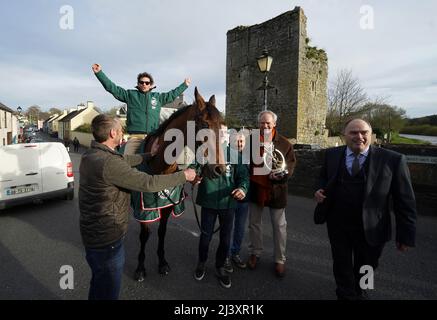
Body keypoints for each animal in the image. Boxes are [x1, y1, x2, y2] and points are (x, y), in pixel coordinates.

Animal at [132, 87, 225, 280]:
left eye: (221, 125)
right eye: (204, 125)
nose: (220, 169)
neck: (160, 167)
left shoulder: (168, 206)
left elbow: (162, 231)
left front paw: (162, 262)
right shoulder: (143, 209)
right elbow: (144, 234)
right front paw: (140, 267)